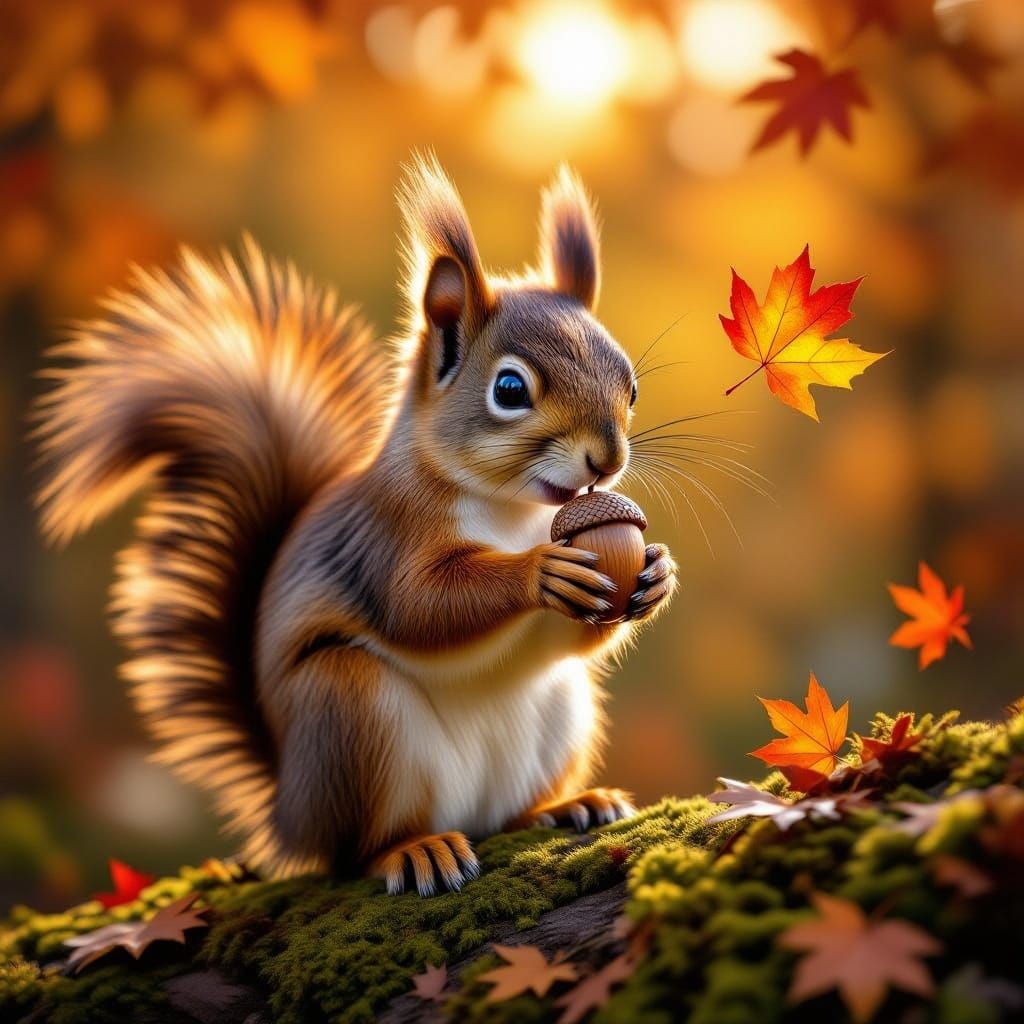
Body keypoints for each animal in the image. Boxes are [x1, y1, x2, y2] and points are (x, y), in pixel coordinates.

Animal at [33, 155, 677, 895]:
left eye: (631, 385)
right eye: (510, 390)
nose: (608, 459)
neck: (515, 510)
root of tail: (289, 812)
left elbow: (573, 637)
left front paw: (656, 573)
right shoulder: (384, 539)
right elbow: (422, 605)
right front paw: (538, 572)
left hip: (561, 715)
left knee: (510, 813)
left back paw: (567, 805)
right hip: (349, 712)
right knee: (357, 848)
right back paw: (415, 851)